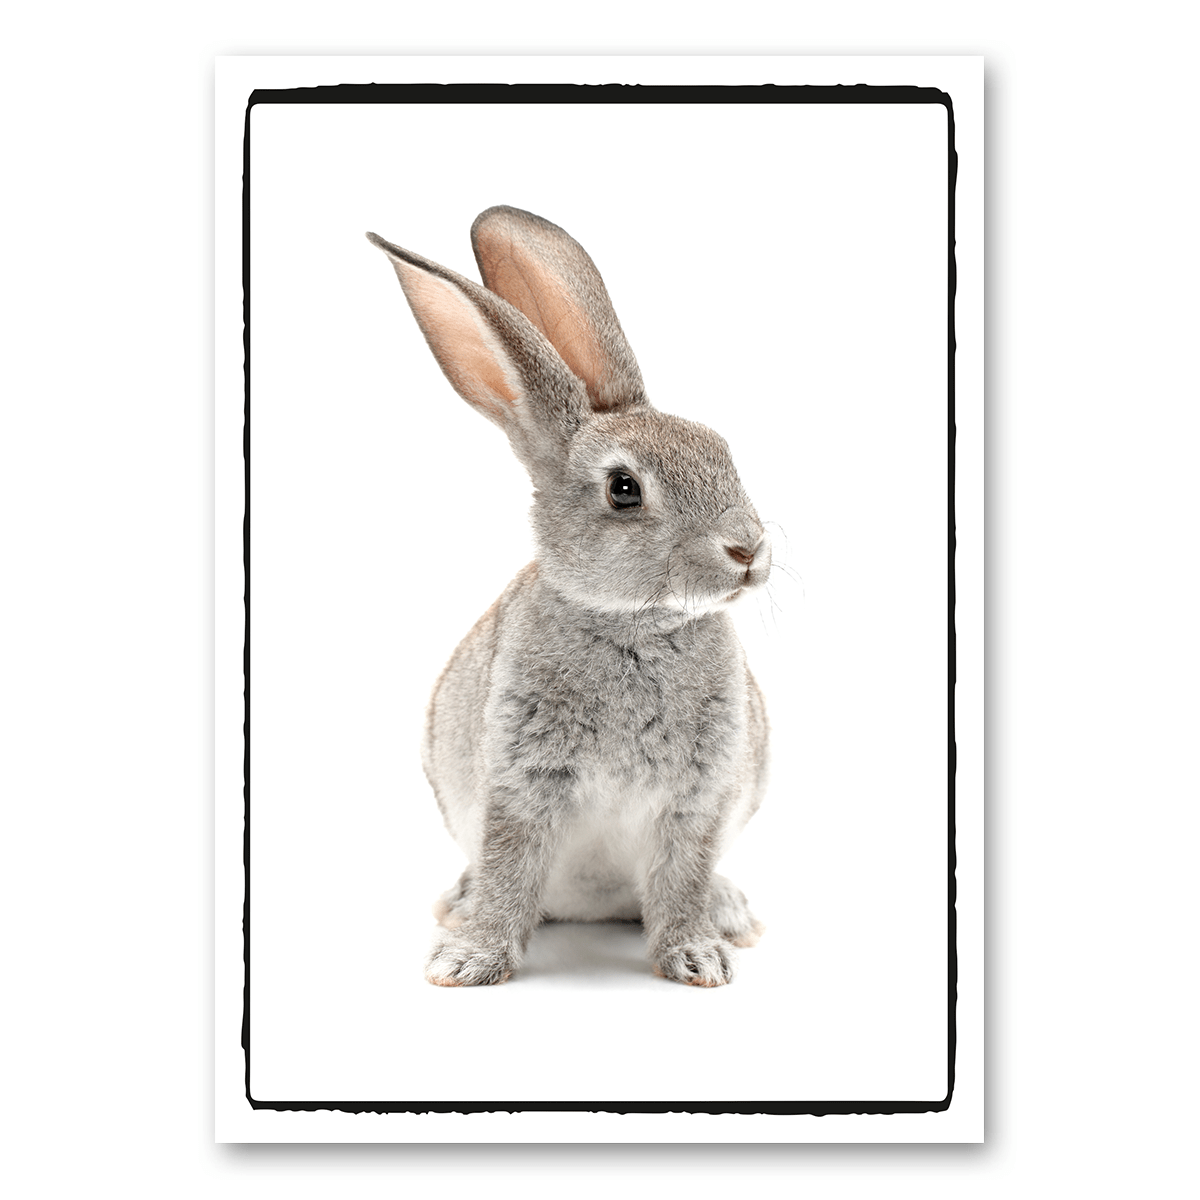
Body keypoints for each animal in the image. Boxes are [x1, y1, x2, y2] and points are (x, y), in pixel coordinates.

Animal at [367, 206, 771, 987]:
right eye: (624, 489)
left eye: (720, 449)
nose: (750, 550)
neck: (635, 626)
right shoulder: (522, 782)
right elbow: (510, 864)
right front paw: (468, 960)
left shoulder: (699, 798)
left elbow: (682, 876)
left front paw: (697, 957)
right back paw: (458, 905)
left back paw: (730, 913)